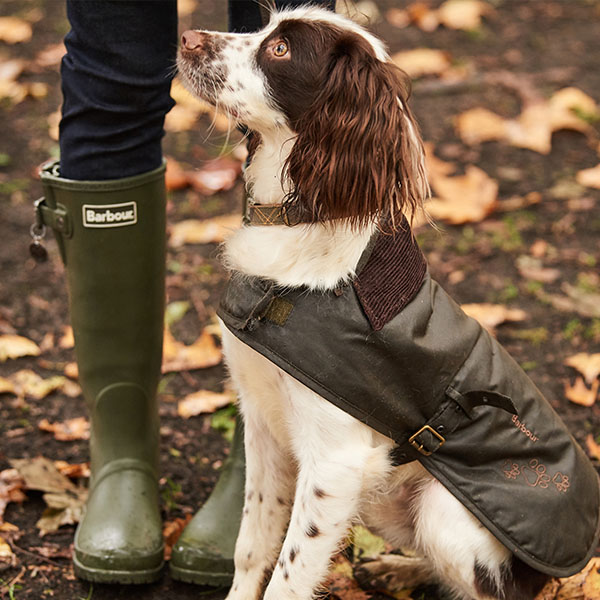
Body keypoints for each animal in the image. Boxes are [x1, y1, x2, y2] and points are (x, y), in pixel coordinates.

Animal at [177, 5, 596, 600]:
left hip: (442, 513)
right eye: (265, 28)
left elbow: (288, 575)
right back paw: (393, 568)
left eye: (281, 49)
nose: (186, 37)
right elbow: (251, 545)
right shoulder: (262, 425)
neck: (302, 224)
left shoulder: (335, 465)